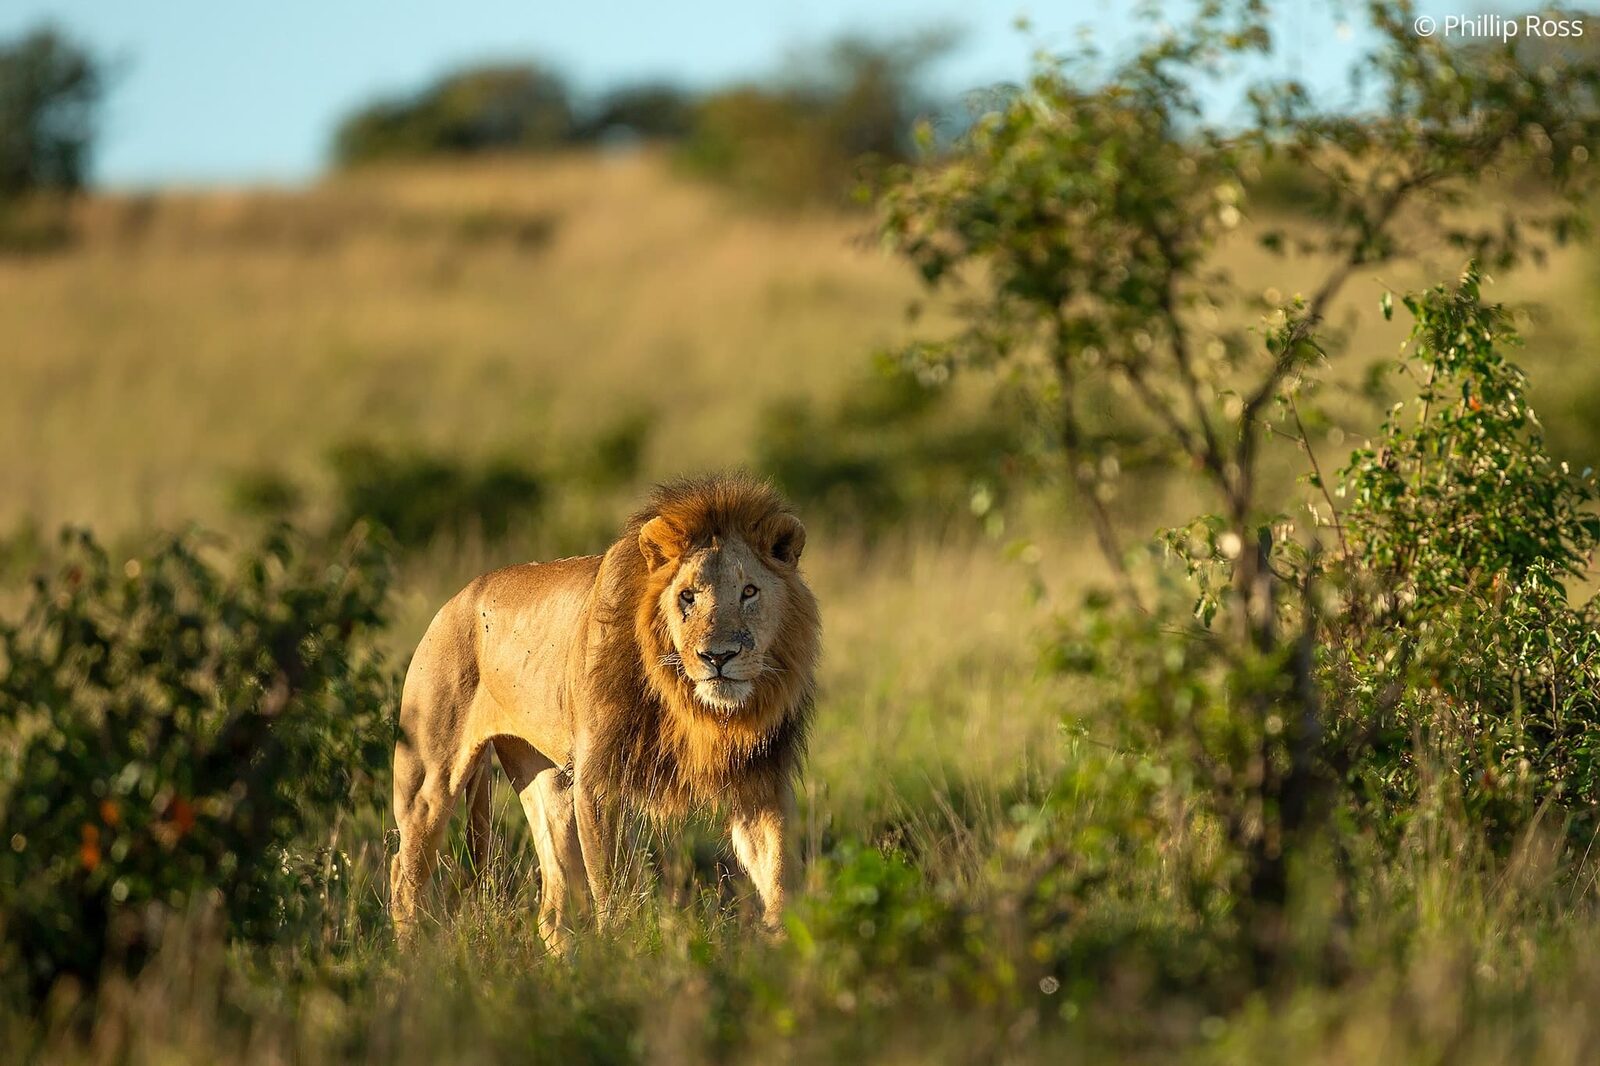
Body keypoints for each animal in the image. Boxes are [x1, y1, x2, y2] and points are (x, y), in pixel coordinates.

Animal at [389, 473, 820, 948]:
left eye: (749, 592)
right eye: (687, 596)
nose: (717, 656)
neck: (700, 714)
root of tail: (455, 600)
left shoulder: (761, 781)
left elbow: (778, 873)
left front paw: (786, 945)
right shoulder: (599, 781)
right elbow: (612, 887)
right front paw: (624, 951)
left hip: (547, 781)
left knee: (554, 897)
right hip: (428, 779)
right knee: (403, 873)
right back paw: (411, 956)